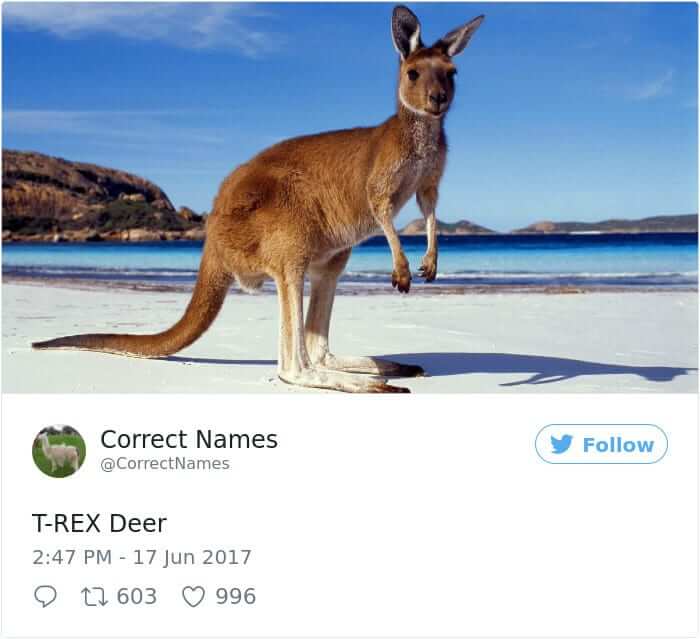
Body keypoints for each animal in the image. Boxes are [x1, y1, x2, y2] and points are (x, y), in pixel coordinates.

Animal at [33, 5, 484, 394]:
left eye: (452, 73)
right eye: (412, 73)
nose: (438, 99)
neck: (418, 133)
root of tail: (212, 241)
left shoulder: (429, 180)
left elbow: (430, 212)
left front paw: (430, 262)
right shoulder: (380, 179)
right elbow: (384, 213)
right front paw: (403, 270)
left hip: (330, 257)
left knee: (317, 345)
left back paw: (387, 367)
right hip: (285, 233)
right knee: (291, 365)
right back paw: (370, 383)